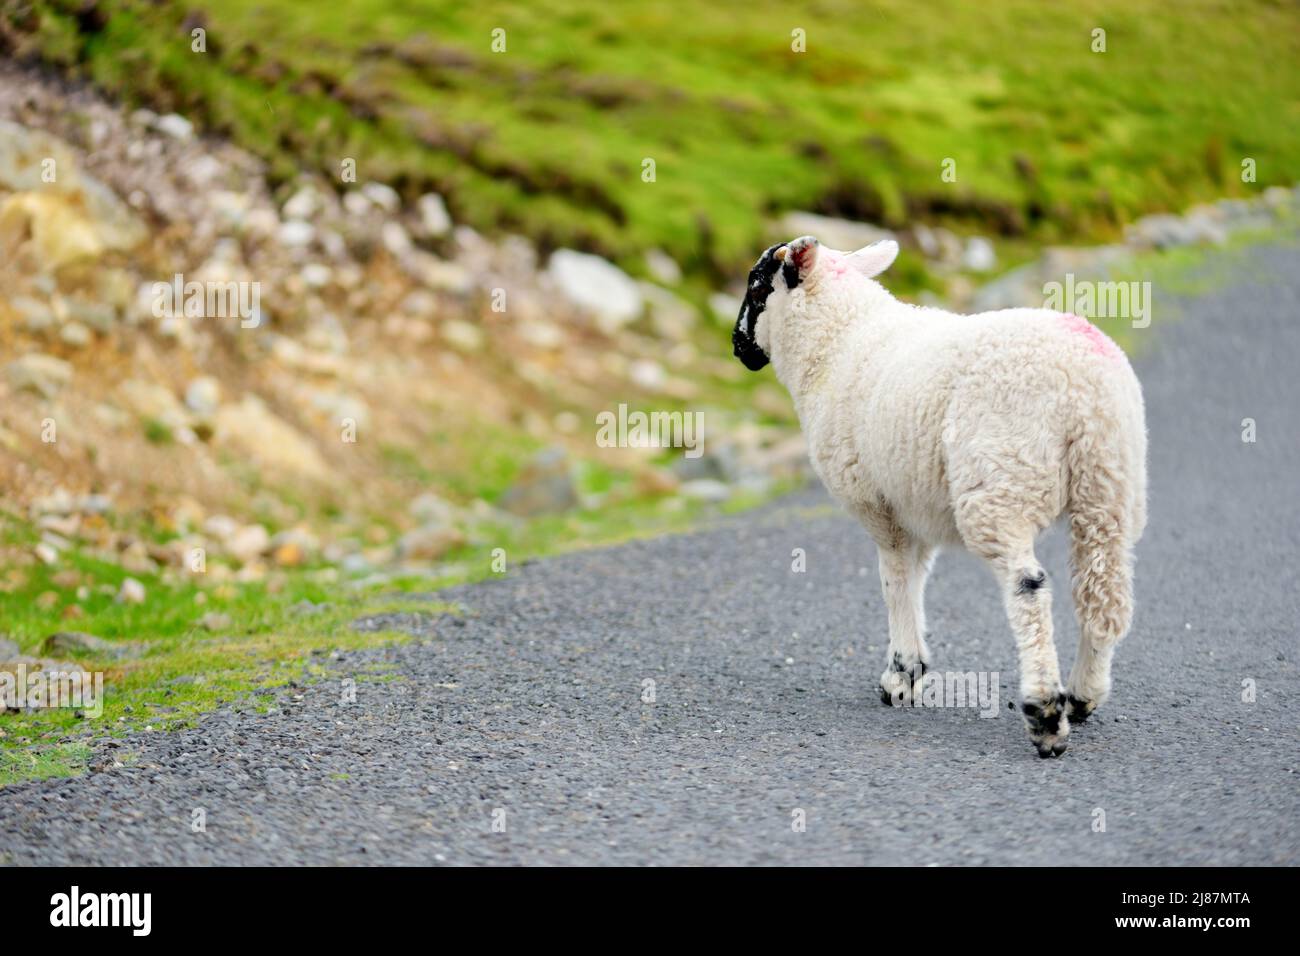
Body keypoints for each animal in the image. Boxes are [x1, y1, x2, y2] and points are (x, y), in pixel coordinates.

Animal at [733, 235, 1147, 757]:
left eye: (756, 284)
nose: (737, 347)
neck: (835, 344)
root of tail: (1085, 388)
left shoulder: (878, 504)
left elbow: (894, 582)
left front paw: (901, 675)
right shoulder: (915, 504)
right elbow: (915, 579)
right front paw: (910, 672)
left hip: (1000, 483)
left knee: (1029, 589)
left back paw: (1045, 715)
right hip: (1110, 488)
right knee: (1104, 596)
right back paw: (1082, 695)